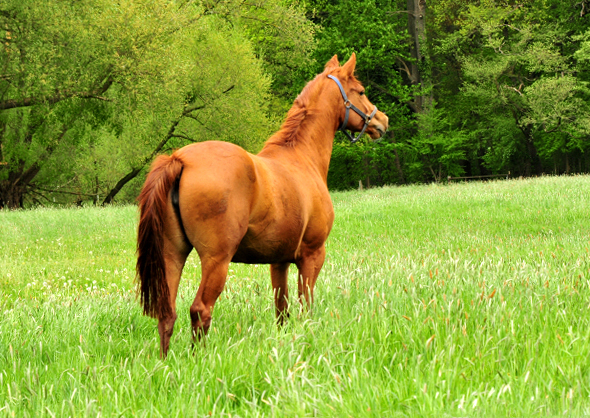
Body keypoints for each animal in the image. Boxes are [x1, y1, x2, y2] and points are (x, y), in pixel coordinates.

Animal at [136, 53, 390, 356]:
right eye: (360, 91)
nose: (383, 121)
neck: (301, 157)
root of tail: (180, 158)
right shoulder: (312, 255)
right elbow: (305, 306)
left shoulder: (278, 261)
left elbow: (282, 310)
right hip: (216, 260)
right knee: (200, 310)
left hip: (172, 255)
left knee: (168, 314)